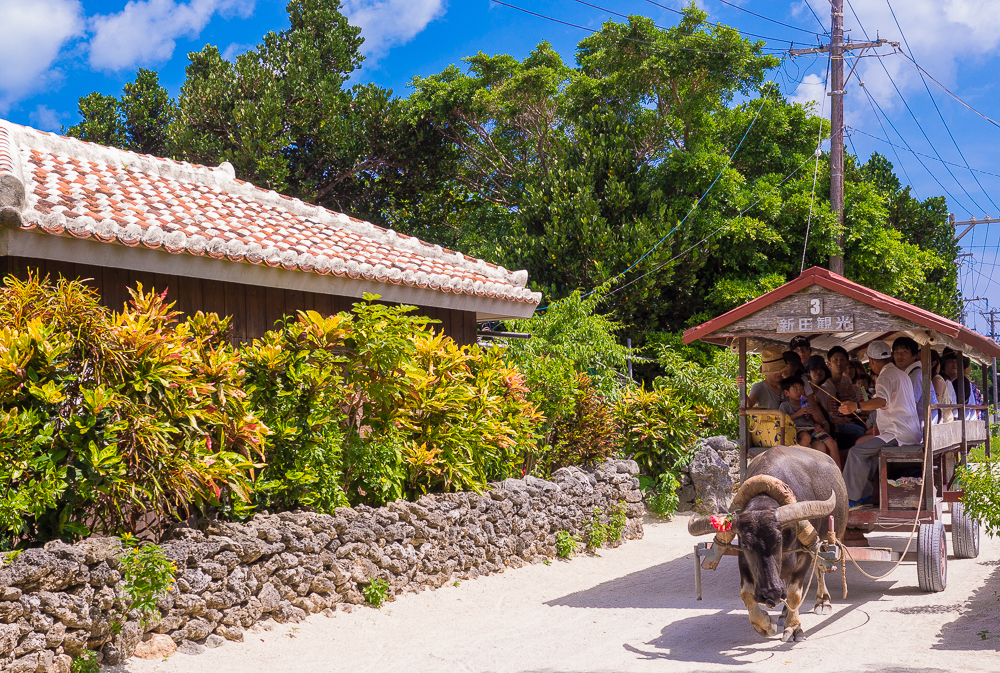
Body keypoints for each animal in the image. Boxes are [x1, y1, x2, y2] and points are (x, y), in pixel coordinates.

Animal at [692, 446, 848, 640]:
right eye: (746, 544)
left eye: (778, 539)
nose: (770, 593)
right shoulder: (743, 558)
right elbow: (746, 593)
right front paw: (765, 625)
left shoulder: (804, 555)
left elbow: (795, 592)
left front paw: (793, 628)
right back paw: (783, 613)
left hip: (827, 541)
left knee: (821, 567)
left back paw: (822, 601)